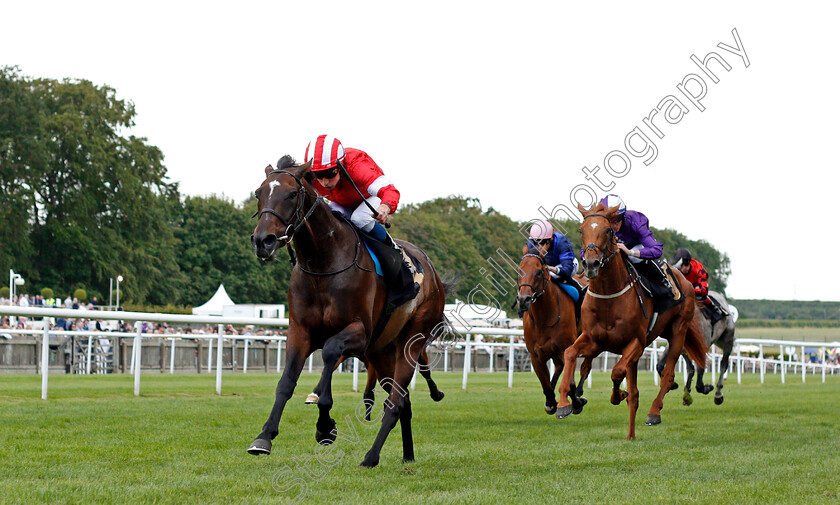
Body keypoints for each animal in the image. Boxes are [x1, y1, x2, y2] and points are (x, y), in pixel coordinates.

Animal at [248, 156, 450, 466]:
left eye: (292, 194)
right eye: (259, 193)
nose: (263, 240)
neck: (323, 265)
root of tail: (434, 276)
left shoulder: (359, 331)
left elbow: (331, 353)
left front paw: (324, 426)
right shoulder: (300, 331)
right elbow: (286, 382)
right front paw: (265, 436)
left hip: (411, 341)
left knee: (395, 403)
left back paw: (371, 456)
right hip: (381, 352)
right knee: (403, 402)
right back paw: (407, 455)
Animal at [516, 252, 588, 414]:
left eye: (538, 272)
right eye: (519, 271)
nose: (524, 299)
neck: (545, 317)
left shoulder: (567, 349)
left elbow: (570, 383)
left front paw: (576, 403)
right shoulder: (536, 356)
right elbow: (546, 385)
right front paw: (550, 402)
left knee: (585, 368)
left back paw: (580, 393)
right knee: (559, 367)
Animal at [556, 203, 708, 440]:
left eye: (608, 230)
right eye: (581, 230)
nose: (591, 263)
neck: (609, 296)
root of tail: (685, 280)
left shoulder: (636, 342)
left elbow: (617, 372)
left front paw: (618, 394)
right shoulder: (594, 340)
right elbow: (570, 353)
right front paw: (564, 403)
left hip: (678, 331)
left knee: (667, 374)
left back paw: (654, 412)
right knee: (635, 390)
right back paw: (630, 434)